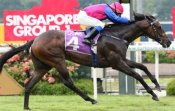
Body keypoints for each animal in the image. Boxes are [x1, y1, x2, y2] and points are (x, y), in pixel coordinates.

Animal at [0, 13, 172, 109]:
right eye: (158, 27)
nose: (168, 42)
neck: (117, 35)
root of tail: (35, 39)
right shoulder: (116, 63)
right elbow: (136, 75)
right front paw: (154, 94)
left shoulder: (121, 60)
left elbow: (142, 67)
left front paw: (157, 86)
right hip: (57, 60)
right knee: (68, 82)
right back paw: (91, 99)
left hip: (42, 66)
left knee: (29, 84)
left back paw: (27, 107)